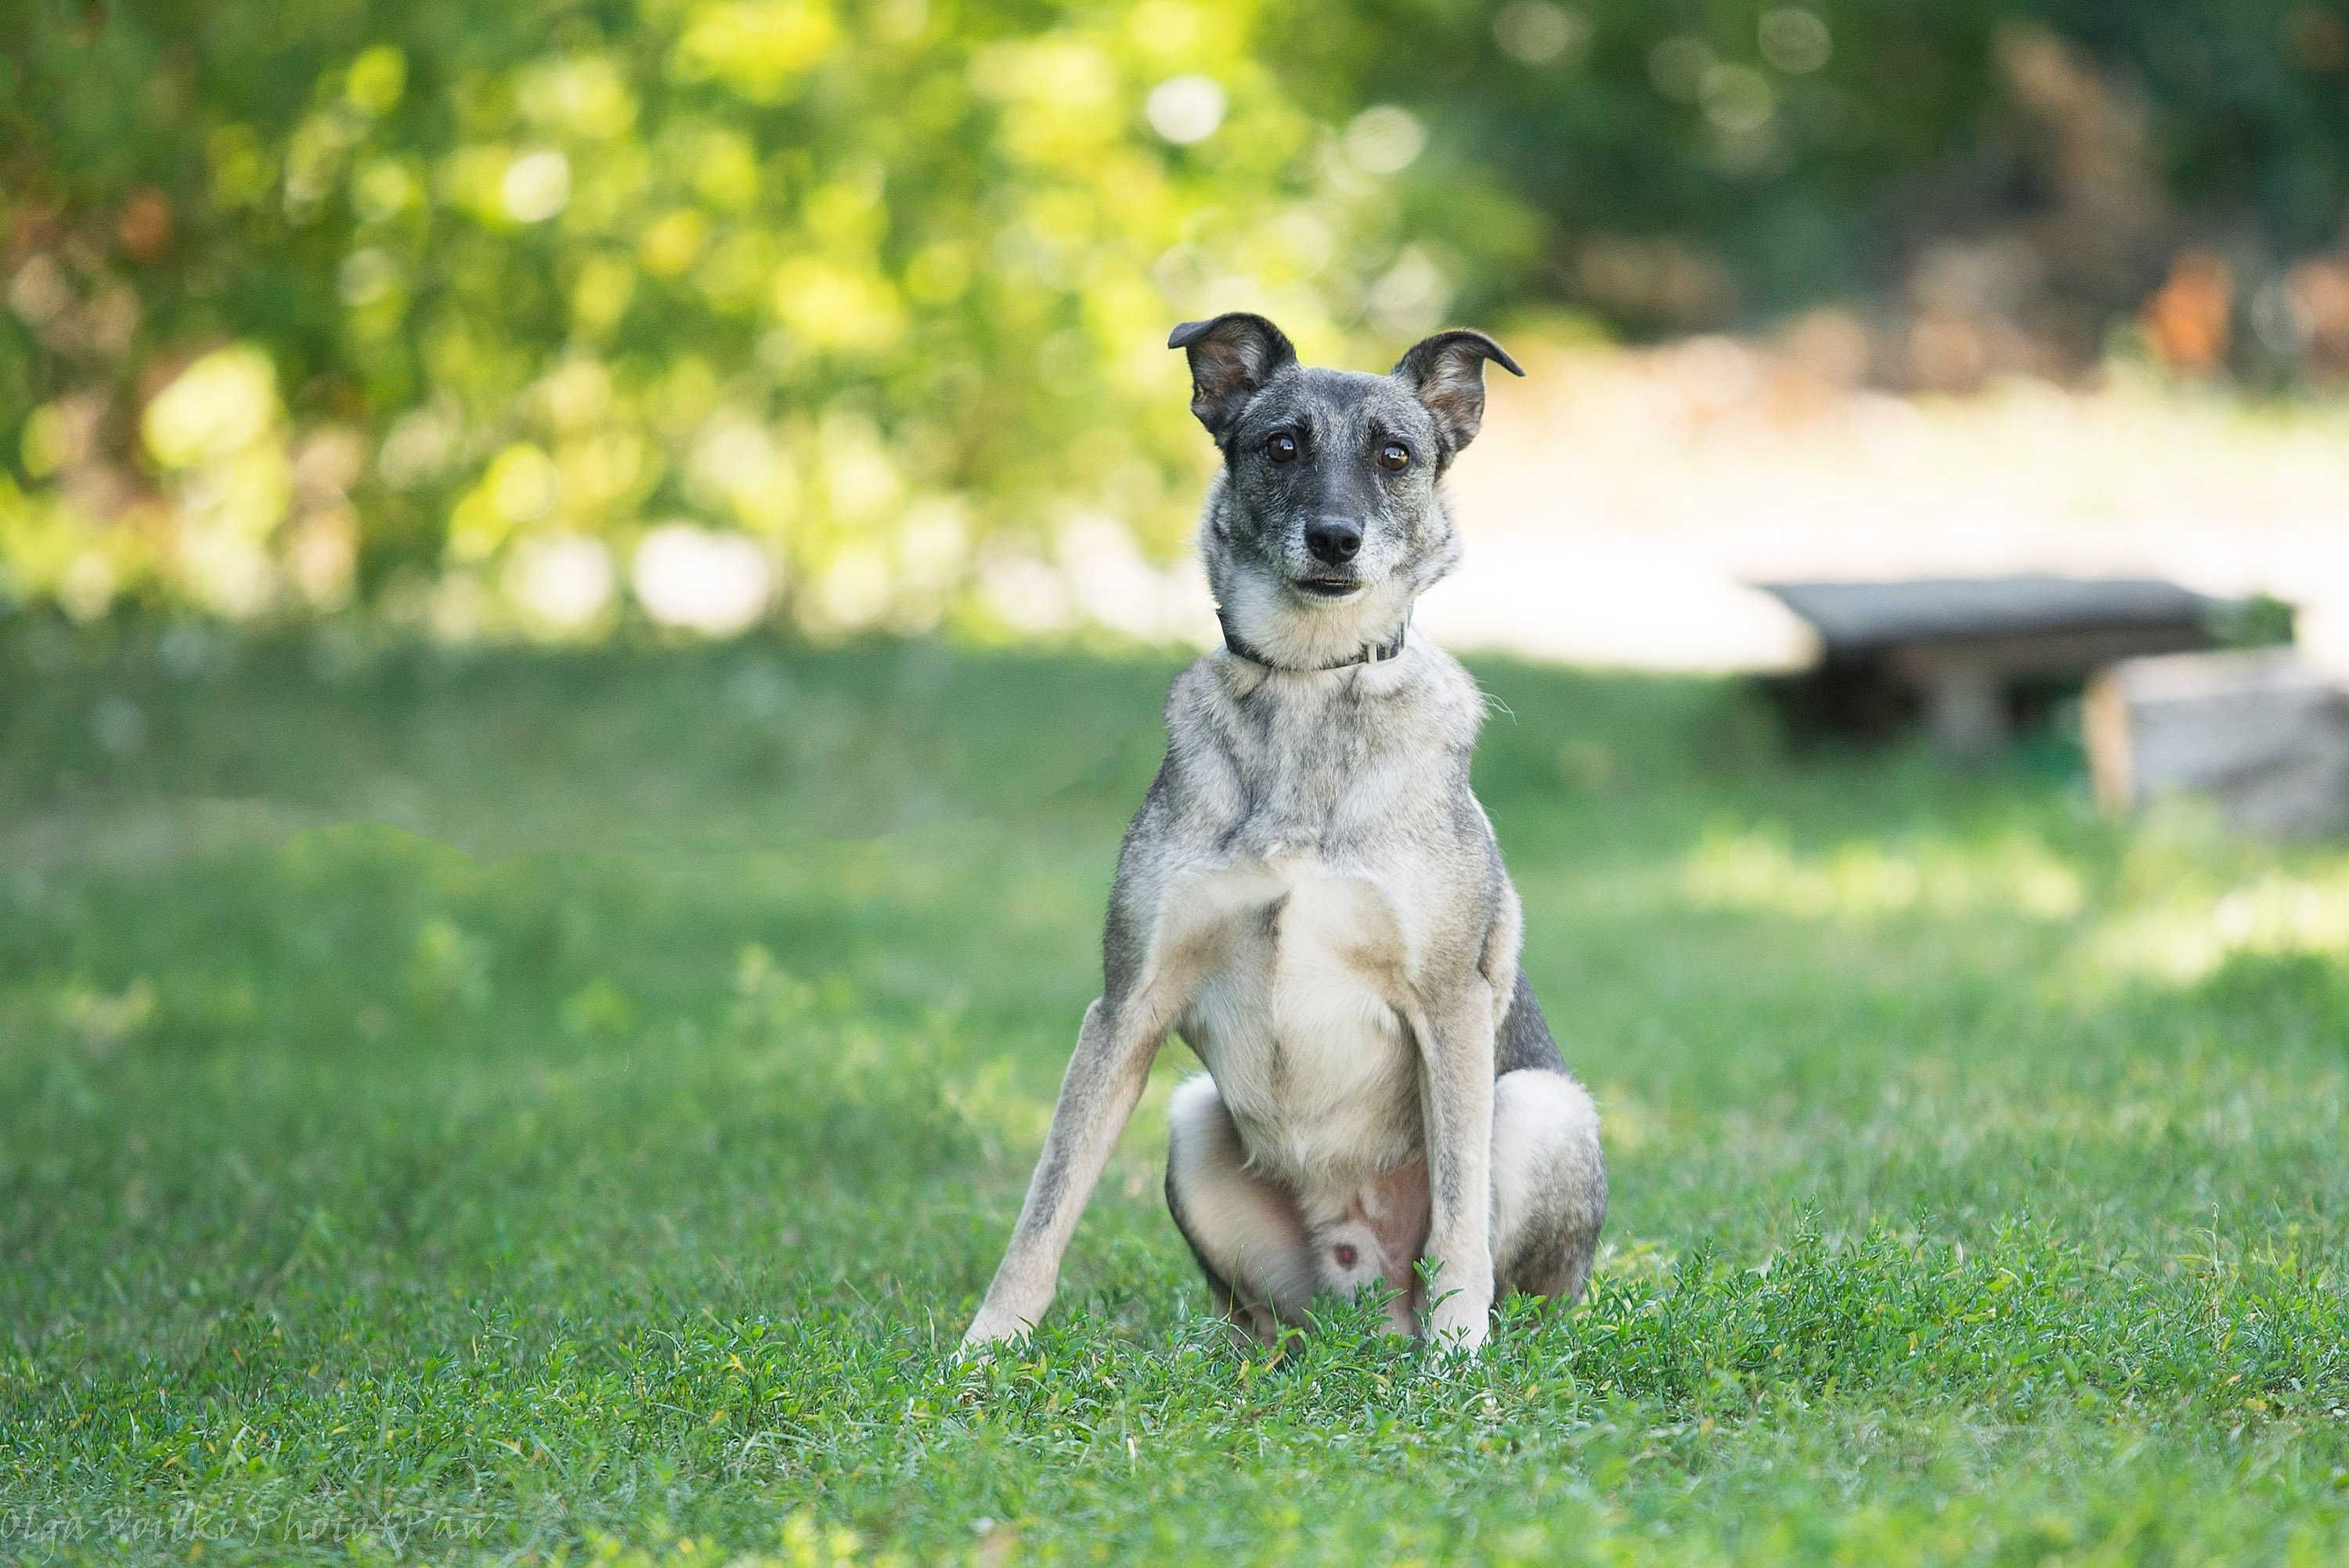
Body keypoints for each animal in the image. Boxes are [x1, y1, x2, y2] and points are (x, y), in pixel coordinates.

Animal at [963, 312, 1607, 1352]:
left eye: (1394, 455)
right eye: (1281, 446)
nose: (1335, 539)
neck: (1309, 680)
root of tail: (1367, 1305)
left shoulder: (1450, 1004)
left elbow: (1460, 1215)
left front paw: (1460, 1358)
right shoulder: (1126, 1005)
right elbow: (1046, 1203)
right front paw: (985, 1349)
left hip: (1542, 1110)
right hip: (1192, 1126)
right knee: (1265, 1327)